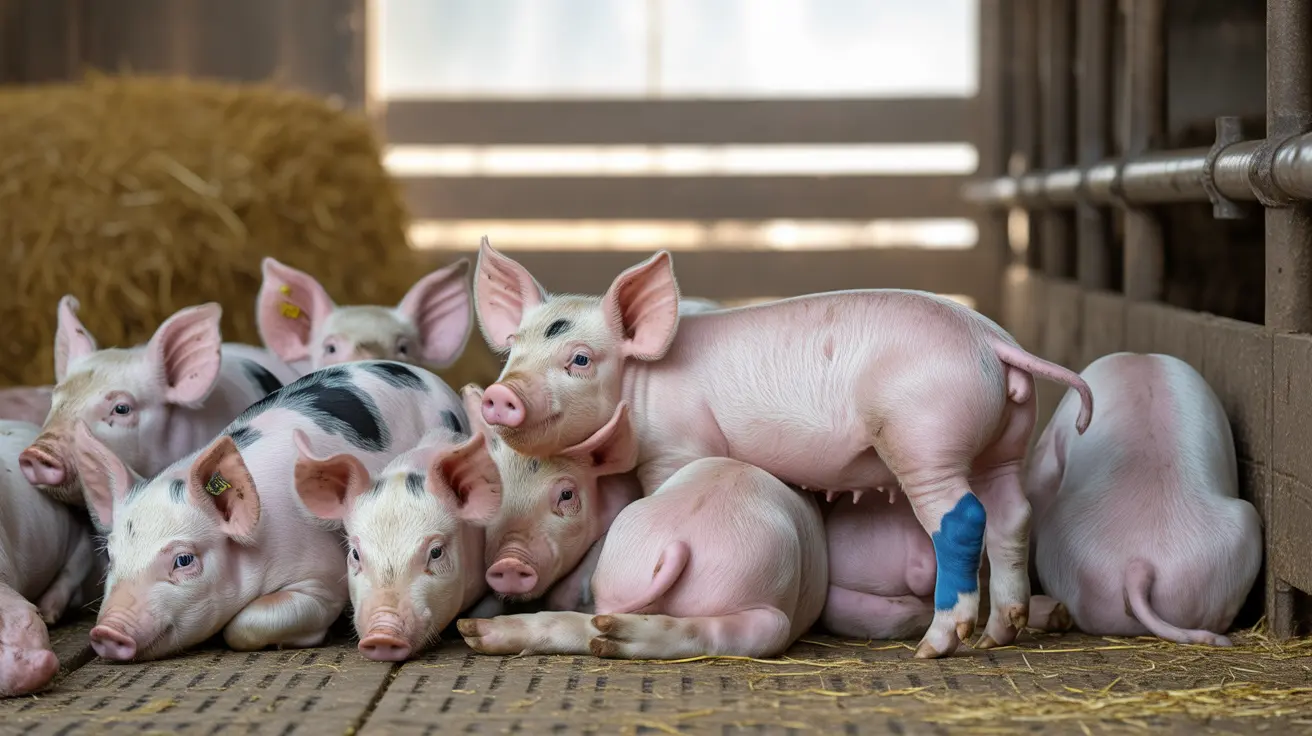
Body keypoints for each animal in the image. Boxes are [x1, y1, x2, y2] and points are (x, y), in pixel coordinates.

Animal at [66, 360, 465, 661]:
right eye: (112, 556)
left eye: (183, 560)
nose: (106, 631)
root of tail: (424, 374)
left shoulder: (321, 579)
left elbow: (243, 626)